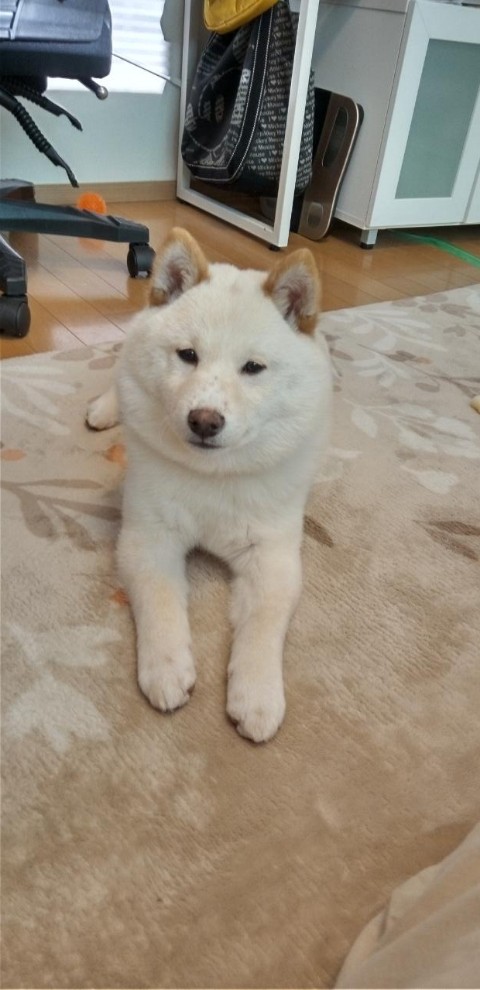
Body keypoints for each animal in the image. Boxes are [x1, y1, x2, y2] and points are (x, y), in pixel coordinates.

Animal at [87, 228, 332, 742]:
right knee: (117, 376)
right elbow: (159, 604)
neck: (212, 478)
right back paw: (104, 408)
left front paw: (257, 695)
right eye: (188, 355)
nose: (204, 420)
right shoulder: (148, 538)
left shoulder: (272, 556)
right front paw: (165, 668)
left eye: (253, 368)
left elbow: (263, 627)